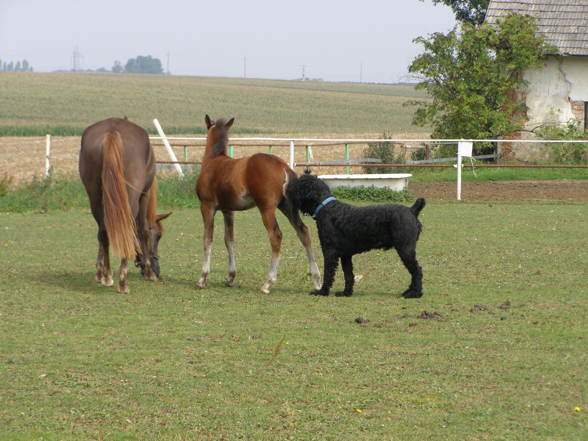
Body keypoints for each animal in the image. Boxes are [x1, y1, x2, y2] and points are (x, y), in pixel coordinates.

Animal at [78, 117, 170, 292]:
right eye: (158, 236)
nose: (157, 269)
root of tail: (112, 131)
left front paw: (99, 273)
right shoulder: (144, 195)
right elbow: (142, 230)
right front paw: (149, 272)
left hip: (95, 197)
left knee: (103, 232)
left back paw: (107, 276)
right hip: (131, 198)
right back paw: (122, 281)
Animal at [195, 115, 320, 292]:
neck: (213, 161)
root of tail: (284, 167)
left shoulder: (207, 206)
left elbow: (208, 239)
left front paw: (202, 278)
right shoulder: (228, 210)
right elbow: (229, 240)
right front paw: (230, 277)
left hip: (266, 208)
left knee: (276, 235)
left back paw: (268, 282)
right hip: (288, 207)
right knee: (303, 232)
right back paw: (316, 281)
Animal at [288, 174, 424, 298]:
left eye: (298, 185)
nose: (287, 190)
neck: (326, 207)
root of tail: (412, 210)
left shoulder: (330, 252)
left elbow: (328, 273)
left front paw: (322, 291)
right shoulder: (345, 255)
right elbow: (348, 275)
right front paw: (346, 293)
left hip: (405, 249)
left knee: (417, 271)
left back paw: (414, 293)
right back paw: (409, 291)